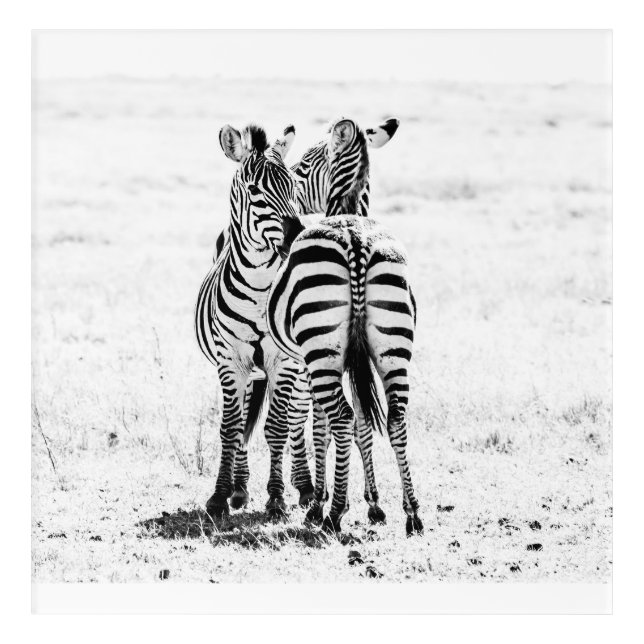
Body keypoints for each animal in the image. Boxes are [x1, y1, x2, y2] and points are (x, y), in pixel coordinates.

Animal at [195, 122, 314, 519]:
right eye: (254, 190)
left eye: (293, 187)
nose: (297, 235)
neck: (260, 287)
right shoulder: (230, 360)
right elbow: (231, 427)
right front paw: (220, 495)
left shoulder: (284, 362)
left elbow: (277, 426)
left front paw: (277, 498)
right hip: (247, 370)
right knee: (246, 417)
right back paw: (240, 487)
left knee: (297, 418)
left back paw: (306, 487)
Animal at [267, 117, 424, 536]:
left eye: (304, 166)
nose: (295, 217)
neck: (347, 208)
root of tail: (356, 240)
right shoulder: (358, 357)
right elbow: (365, 425)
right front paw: (374, 503)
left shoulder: (313, 362)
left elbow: (321, 426)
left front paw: (321, 501)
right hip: (393, 346)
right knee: (395, 418)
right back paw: (412, 512)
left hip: (321, 352)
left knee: (339, 416)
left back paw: (334, 512)